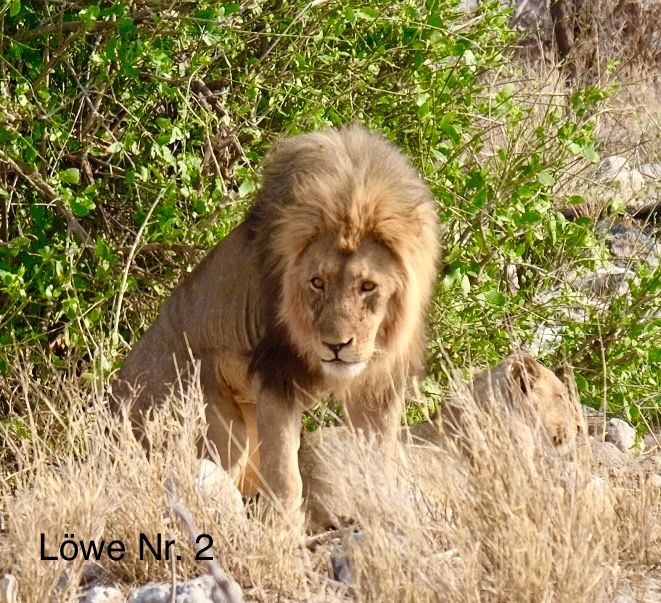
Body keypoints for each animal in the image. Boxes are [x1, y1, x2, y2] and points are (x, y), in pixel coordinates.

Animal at [116, 124, 440, 520]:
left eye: (367, 286)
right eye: (317, 282)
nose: (336, 346)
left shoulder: (379, 384)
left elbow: (380, 461)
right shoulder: (276, 375)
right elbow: (287, 478)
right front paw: (283, 527)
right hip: (219, 424)